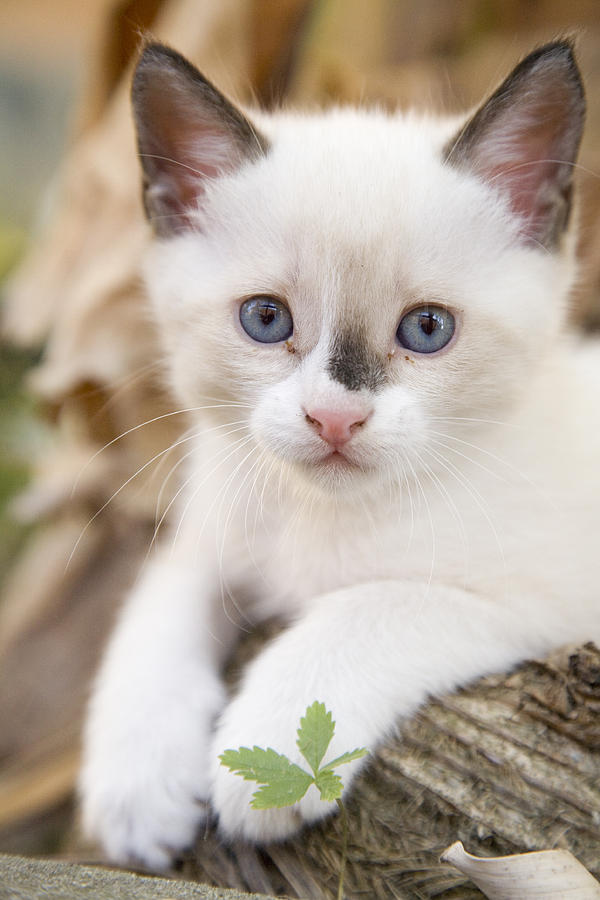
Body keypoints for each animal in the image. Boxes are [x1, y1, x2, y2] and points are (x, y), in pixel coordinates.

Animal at [79, 38, 600, 868]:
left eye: (426, 329)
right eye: (265, 319)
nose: (334, 417)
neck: (317, 520)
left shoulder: (547, 612)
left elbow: (372, 607)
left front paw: (276, 758)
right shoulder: (215, 538)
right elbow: (155, 611)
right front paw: (138, 789)